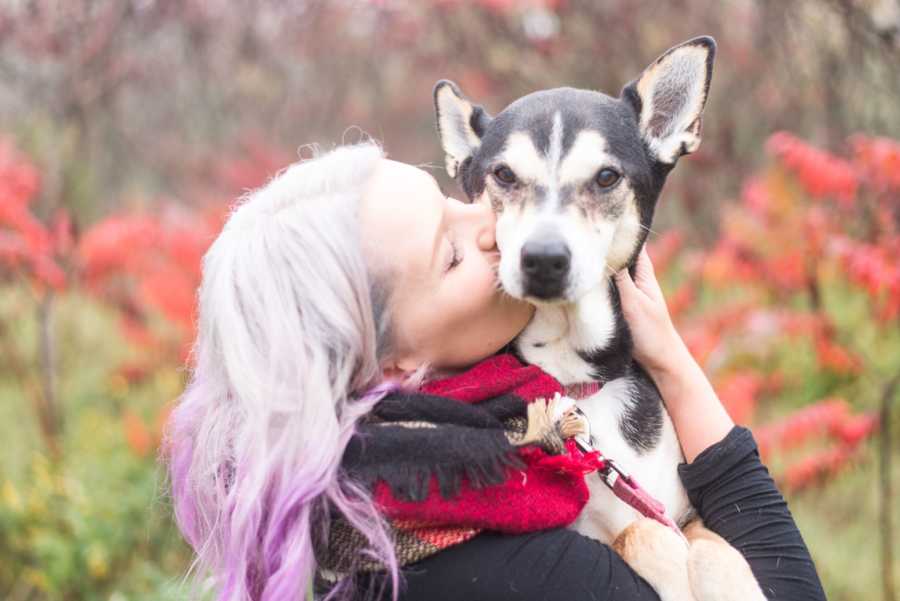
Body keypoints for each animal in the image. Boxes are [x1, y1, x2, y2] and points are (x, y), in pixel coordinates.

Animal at [436, 38, 768, 600]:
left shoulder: (684, 511)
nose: (544, 259)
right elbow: (642, 536)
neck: (579, 381)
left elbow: (718, 552)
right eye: (503, 175)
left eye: (607, 176)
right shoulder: (599, 530)